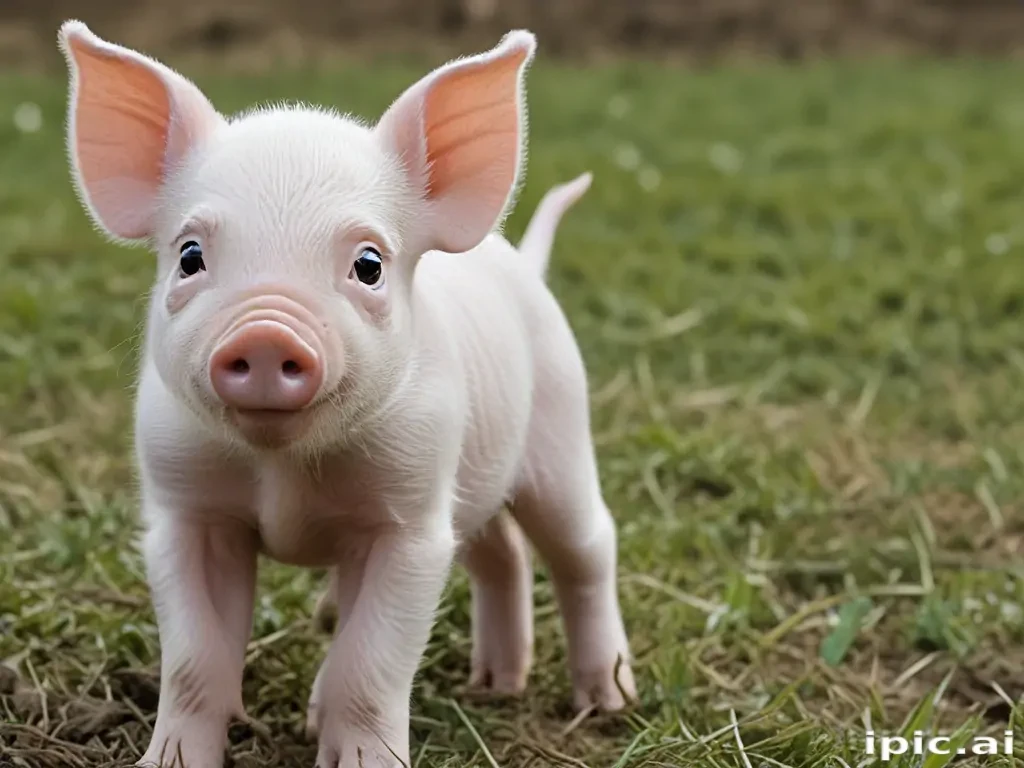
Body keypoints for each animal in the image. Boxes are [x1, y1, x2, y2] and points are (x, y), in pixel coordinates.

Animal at [57, 19, 637, 768]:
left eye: (368, 264)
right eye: (189, 256)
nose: (267, 331)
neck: (281, 468)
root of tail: (525, 266)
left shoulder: (410, 519)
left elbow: (369, 666)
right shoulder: (183, 508)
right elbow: (191, 665)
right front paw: (169, 761)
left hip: (562, 429)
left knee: (586, 546)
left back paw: (609, 700)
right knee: (499, 551)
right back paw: (492, 686)